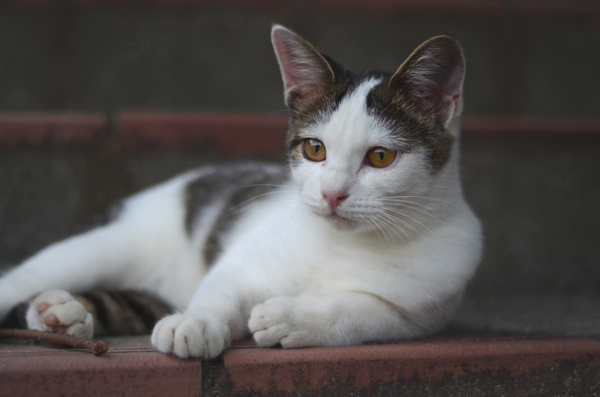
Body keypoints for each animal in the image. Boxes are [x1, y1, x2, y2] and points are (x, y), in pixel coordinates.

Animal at [0, 24, 482, 358]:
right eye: (315, 149)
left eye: (381, 157)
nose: (332, 195)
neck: (344, 244)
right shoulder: (242, 260)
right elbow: (220, 287)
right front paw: (194, 323)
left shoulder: (418, 313)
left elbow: (361, 311)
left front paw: (288, 318)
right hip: (106, 246)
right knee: (23, 278)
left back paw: (60, 317)